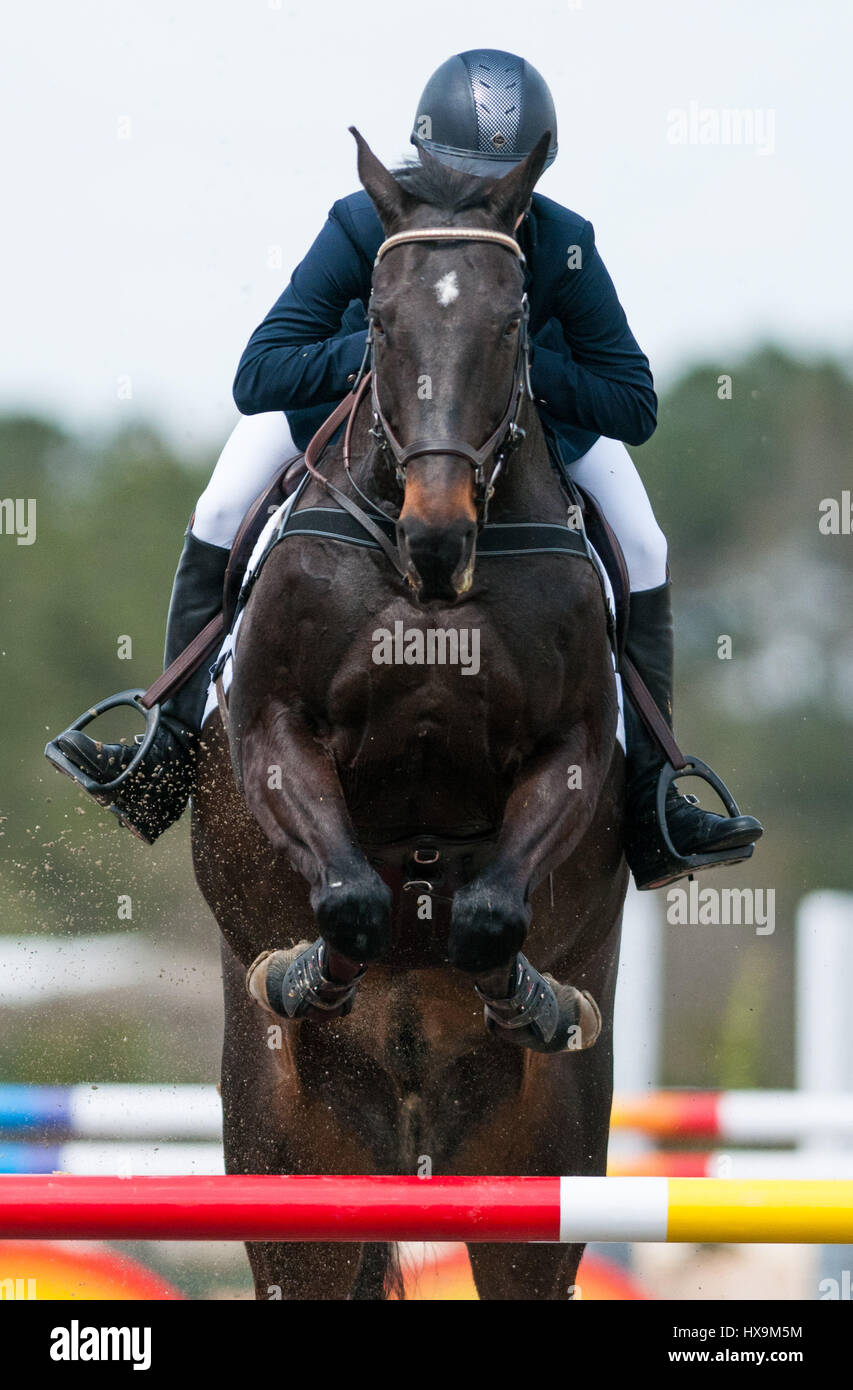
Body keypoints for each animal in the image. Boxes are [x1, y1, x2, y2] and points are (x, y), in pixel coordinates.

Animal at [190, 128, 629, 1300]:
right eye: (379, 322)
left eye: (513, 322)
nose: (436, 541)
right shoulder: (275, 732)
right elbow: (345, 895)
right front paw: (306, 970)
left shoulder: (571, 750)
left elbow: (488, 911)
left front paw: (525, 992)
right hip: (288, 1164)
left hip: (541, 1163)